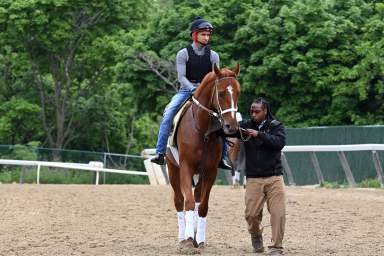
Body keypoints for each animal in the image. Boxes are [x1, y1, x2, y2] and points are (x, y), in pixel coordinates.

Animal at [166, 63, 240, 251]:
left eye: (238, 92)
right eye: (220, 93)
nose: (231, 126)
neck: (203, 131)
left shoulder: (210, 171)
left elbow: (203, 206)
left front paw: (199, 239)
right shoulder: (185, 167)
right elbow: (189, 202)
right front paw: (187, 240)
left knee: (198, 197)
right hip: (172, 169)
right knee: (179, 200)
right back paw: (183, 237)